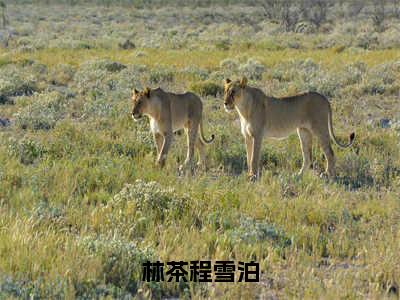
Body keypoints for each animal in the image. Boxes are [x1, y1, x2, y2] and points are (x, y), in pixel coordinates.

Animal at [223, 77, 354, 180]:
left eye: (233, 92)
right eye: (225, 91)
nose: (225, 103)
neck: (243, 109)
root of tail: (324, 97)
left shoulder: (257, 135)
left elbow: (254, 158)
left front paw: (253, 177)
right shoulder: (247, 136)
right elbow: (248, 157)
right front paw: (249, 175)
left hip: (320, 129)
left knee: (330, 153)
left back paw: (329, 175)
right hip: (303, 132)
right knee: (307, 157)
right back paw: (298, 175)